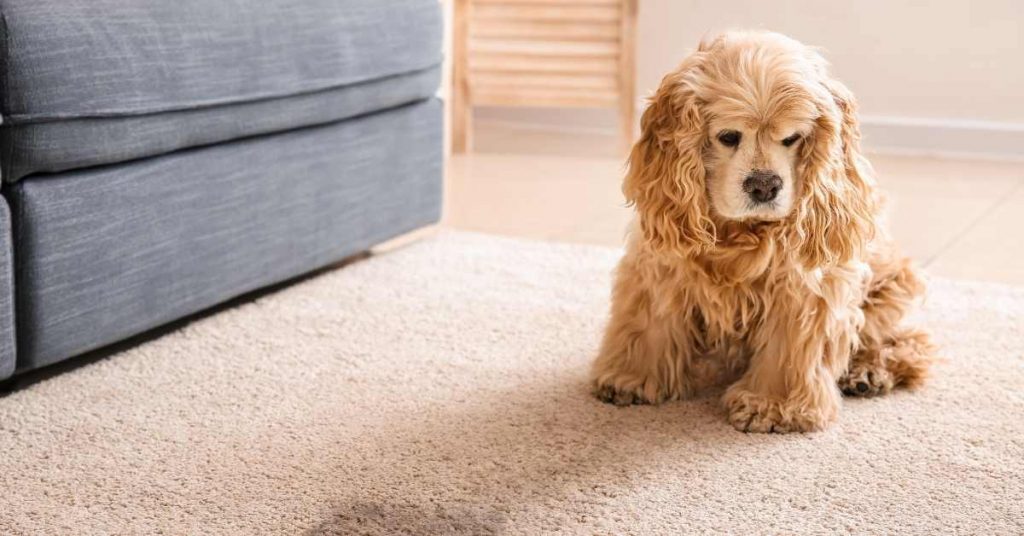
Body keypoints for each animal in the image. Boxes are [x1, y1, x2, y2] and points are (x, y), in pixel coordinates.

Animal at [593, 29, 937, 434]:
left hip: (891, 287)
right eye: (728, 136)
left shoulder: (804, 288)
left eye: (792, 138)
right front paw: (630, 377)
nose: (764, 186)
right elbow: (649, 322)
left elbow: (788, 348)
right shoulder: (661, 263)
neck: (739, 233)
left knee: (909, 341)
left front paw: (773, 406)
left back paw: (867, 373)